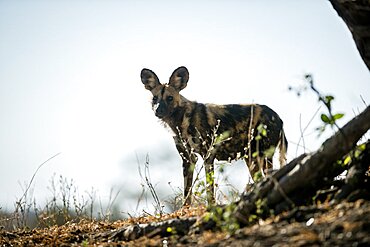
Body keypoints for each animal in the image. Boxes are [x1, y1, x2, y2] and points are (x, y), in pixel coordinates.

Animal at [140, 66, 288, 205]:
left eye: (169, 98)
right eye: (155, 98)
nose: (158, 111)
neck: (181, 121)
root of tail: (278, 116)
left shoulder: (208, 156)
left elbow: (209, 189)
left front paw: (211, 207)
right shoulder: (188, 160)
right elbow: (187, 192)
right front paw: (184, 209)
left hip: (263, 157)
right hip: (251, 159)